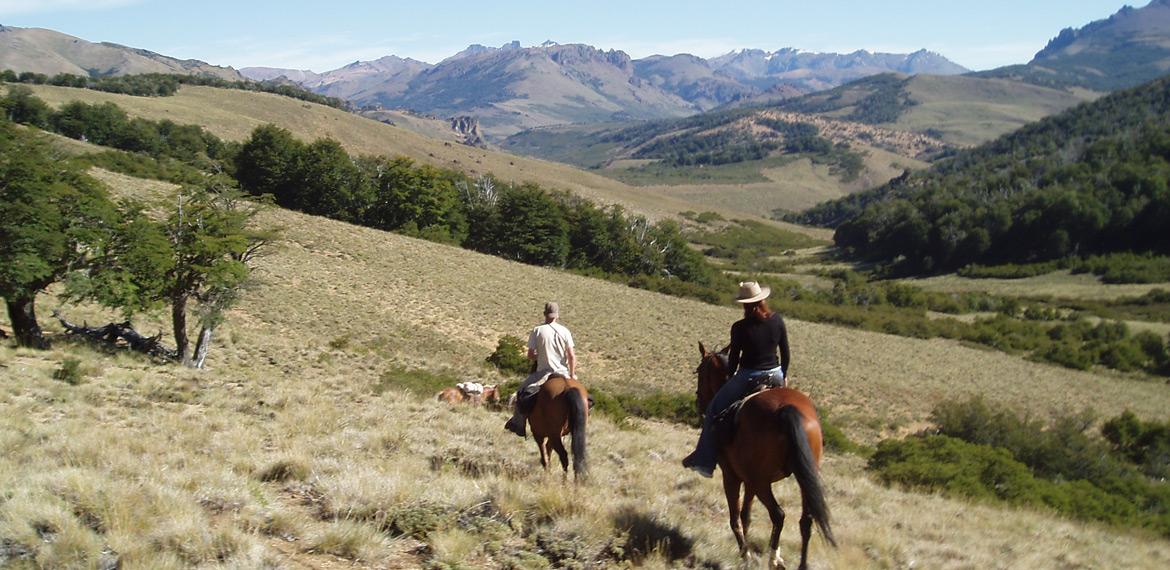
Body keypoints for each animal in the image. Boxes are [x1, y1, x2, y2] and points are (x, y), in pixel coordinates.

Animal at [692, 344, 833, 570]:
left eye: (699, 370)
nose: (699, 402)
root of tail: (786, 409)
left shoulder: (732, 476)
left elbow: (735, 518)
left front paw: (746, 556)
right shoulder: (749, 481)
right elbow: (746, 516)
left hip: (761, 482)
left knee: (778, 514)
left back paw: (773, 559)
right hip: (803, 476)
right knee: (806, 520)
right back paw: (800, 564)